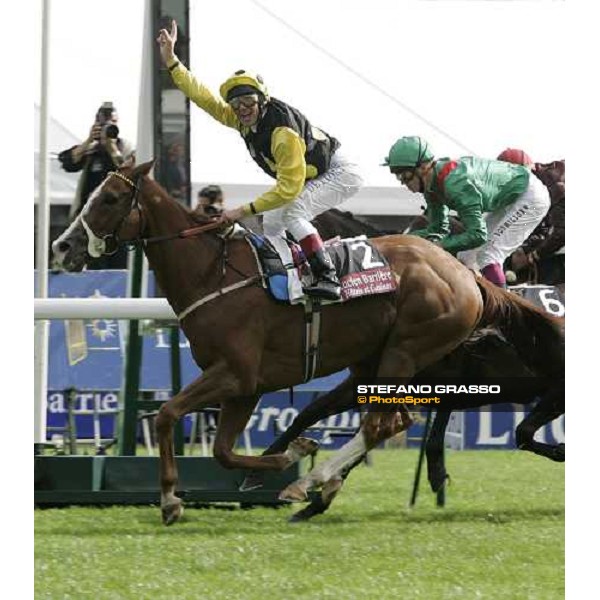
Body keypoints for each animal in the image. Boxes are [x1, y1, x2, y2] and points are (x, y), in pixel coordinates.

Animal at [51, 159, 564, 524]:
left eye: (111, 197)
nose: (61, 247)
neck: (214, 274)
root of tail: (463, 273)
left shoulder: (235, 373)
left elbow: (166, 415)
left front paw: (172, 500)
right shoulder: (245, 386)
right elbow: (221, 451)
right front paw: (283, 458)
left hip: (405, 351)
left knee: (385, 422)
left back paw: (314, 481)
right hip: (377, 363)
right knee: (393, 420)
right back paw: (320, 484)